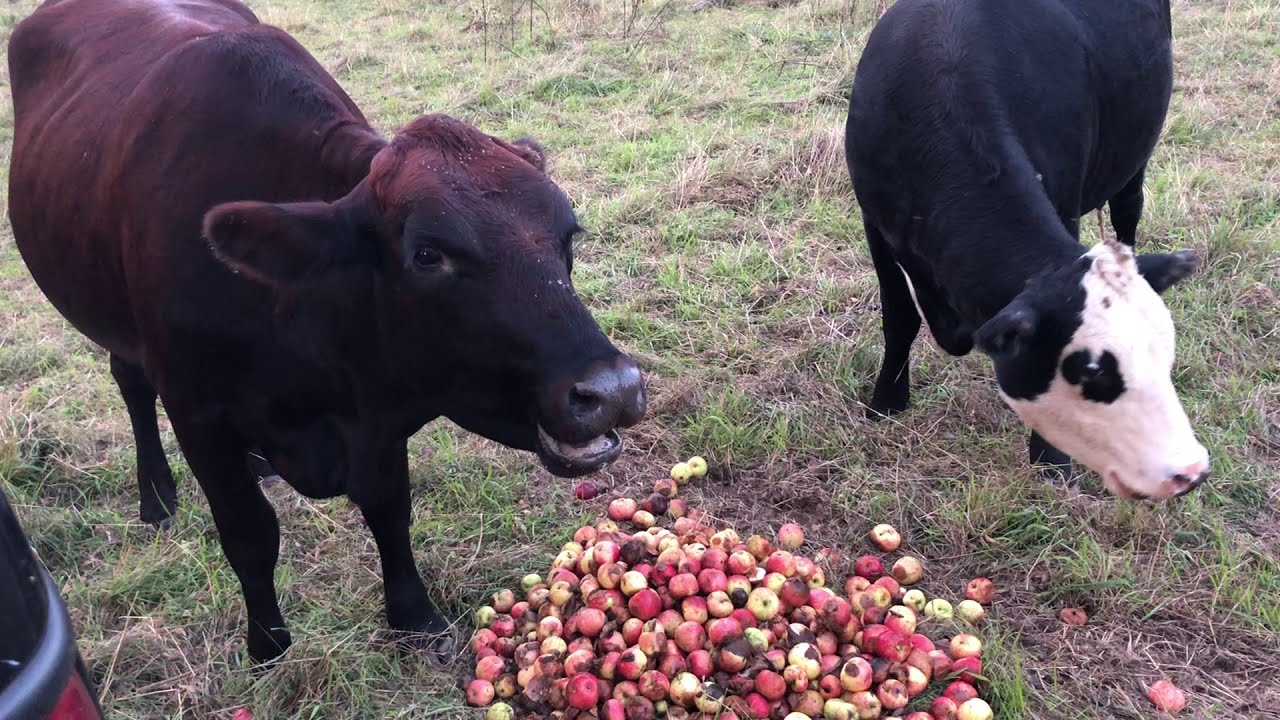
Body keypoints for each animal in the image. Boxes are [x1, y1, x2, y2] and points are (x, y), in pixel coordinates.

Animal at [7, 0, 646, 665]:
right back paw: (155, 497)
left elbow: (389, 510)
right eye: (427, 255)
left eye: (567, 238)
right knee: (131, 386)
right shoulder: (198, 415)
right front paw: (268, 644)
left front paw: (414, 615)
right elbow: (250, 532)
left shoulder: (374, 415)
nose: (612, 389)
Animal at [845, 0, 1212, 500]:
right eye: (1090, 371)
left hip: (1134, 159)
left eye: (1165, 355)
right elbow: (899, 319)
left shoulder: (1065, 202)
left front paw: (1051, 459)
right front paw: (886, 402)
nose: (1191, 471)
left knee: (1128, 212)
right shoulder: (877, 225)